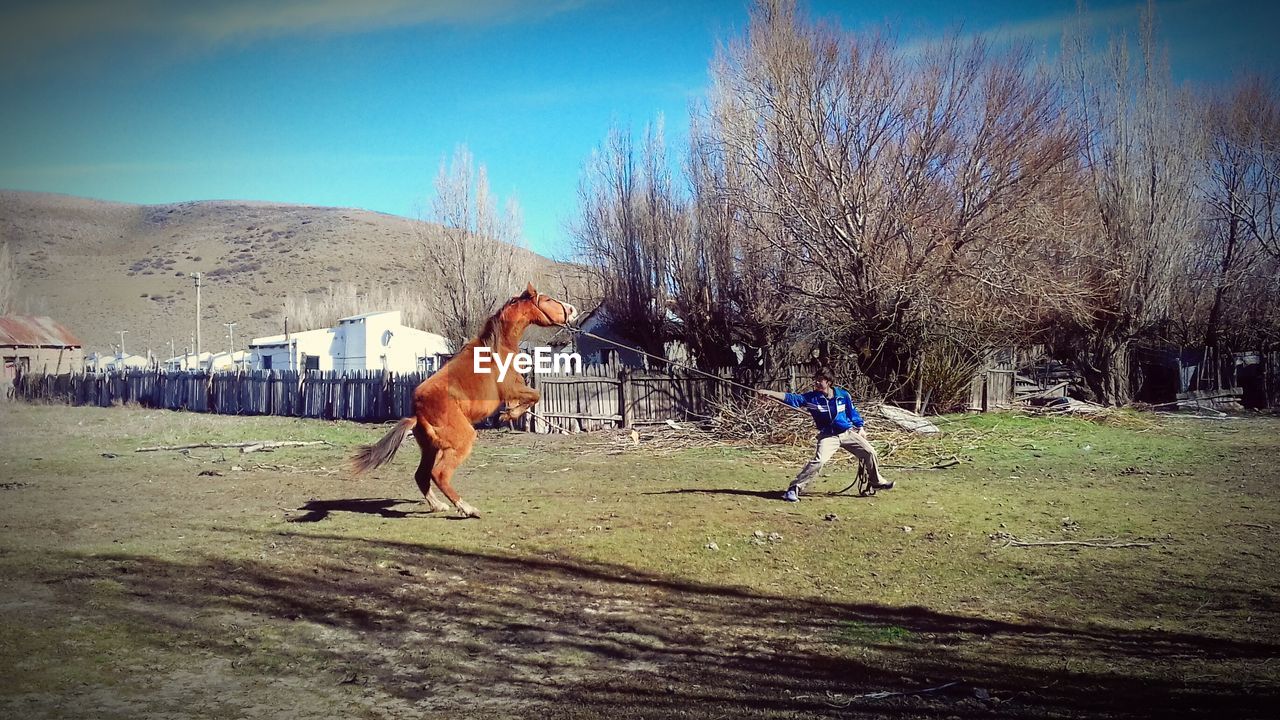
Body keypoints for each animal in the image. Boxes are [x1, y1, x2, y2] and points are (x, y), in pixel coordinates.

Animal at [345, 280, 576, 515]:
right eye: (547, 299)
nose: (572, 310)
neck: (497, 348)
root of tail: (417, 414)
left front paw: (507, 415)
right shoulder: (513, 389)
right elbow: (535, 395)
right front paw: (507, 415)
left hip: (431, 448)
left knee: (422, 475)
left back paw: (439, 505)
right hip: (460, 442)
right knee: (439, 474)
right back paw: (467, 508)